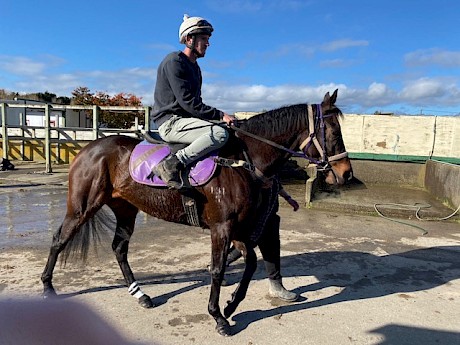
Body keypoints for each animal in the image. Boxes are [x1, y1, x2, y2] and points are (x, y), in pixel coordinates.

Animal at [42, 88, 352, 334]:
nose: (346, 173)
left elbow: (251, 262)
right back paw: (47, 287)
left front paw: (231, 305)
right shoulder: (221, 228)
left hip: (126, 209)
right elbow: (217, 269)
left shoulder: (238, 228)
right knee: (59, 240)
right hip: (82, 207)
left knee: (119, 248)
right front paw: (218, 317)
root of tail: (89, 148)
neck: (240, 162)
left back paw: (140, 294)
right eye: (333, 132)